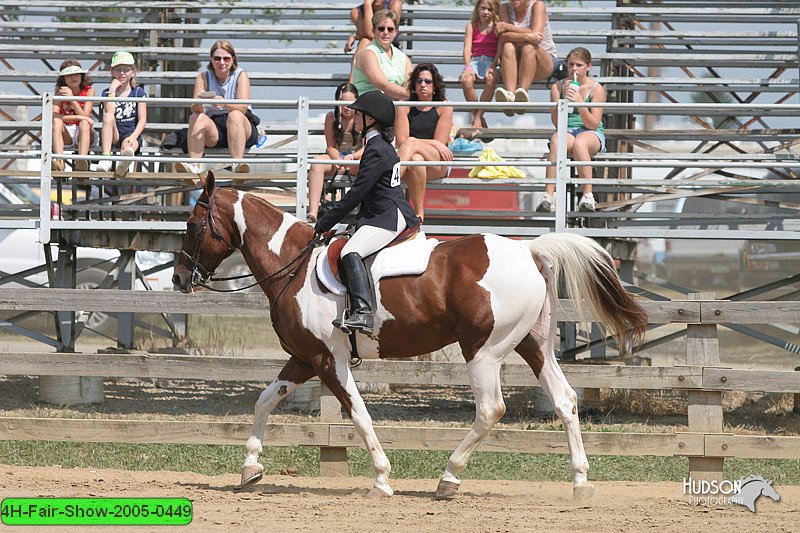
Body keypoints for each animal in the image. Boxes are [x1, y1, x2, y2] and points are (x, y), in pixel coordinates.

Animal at [172, 174, 648, 498]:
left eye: (193, 225)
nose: (178, 279)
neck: (294, 264)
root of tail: (527, 249)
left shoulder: (328, 361)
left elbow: (359, 415)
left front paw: (382, 480)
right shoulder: (305, 358)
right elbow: (264, 400)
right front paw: (250, 469)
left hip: (484, 351)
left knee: (490, 409)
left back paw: (448, 477)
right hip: (533, 346)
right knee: (565, 401)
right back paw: (580, 482)